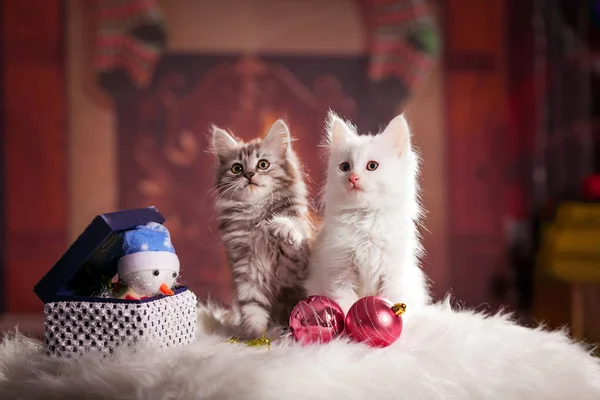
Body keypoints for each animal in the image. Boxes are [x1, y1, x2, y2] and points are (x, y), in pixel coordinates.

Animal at [211, 120, 314, 340]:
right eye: (237, 168)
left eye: (263, 164)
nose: (249, 174)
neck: (256, 214)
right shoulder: (247, 271)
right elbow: (252, 308)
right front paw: (253, 338)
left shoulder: (297, 267)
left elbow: (293, 236)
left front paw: (281, 227)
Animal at [304, 111, 432, 314]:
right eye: (345, 167)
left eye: (372, 166)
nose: (352, 177)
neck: (365, 219)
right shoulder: (340, 273)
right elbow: (345, 306)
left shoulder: (392, 275)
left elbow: (393, 304)